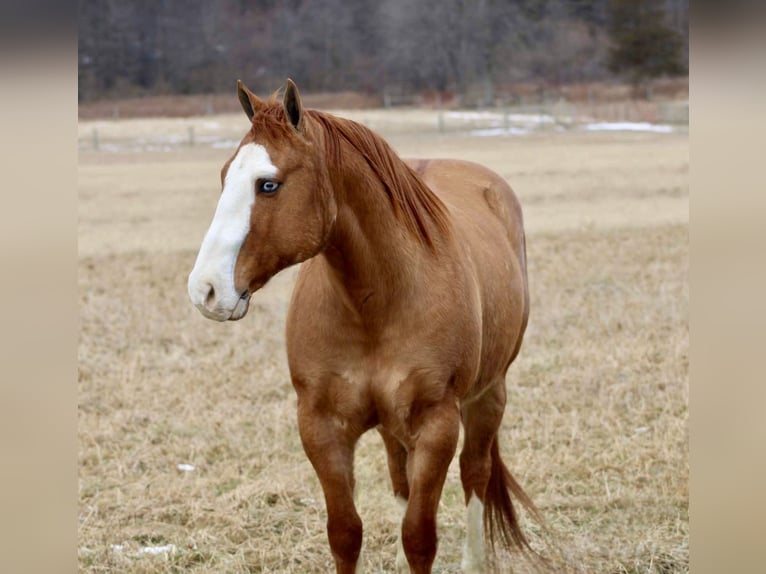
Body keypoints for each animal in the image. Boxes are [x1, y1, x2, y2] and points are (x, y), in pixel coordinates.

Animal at [189, 79, 544, 572]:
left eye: (269, 184)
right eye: (226, 176)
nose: (205, 288)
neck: (378, 301)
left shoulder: (437, 426)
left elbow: (419, 535)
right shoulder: (321, 426)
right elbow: (345, 533)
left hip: (488, 395)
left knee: (475, 472)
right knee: (401, 476)